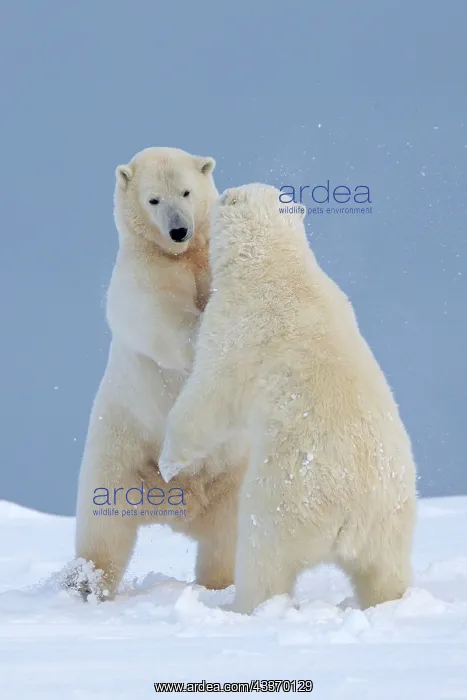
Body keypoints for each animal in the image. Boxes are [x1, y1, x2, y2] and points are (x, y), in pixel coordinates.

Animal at [69, 148, 247, 600]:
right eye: (153, 199)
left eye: (186, 191)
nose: (179, 230)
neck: (183, 256)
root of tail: (177, 503)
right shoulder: (144, 272)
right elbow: (161, 316)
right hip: (120, 456)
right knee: (105, 530)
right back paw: (87, 584)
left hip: (230, 474)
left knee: (227, 536)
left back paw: (218, 585)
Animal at [158, 183, 417, 615]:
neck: (275, 264)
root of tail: (351, 518)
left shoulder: (235, 326)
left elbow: (209, 397)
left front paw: (167, 463)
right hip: (391, 520)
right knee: (384, 572)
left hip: (285, 495)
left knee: (264, 556)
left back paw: (244, 605)